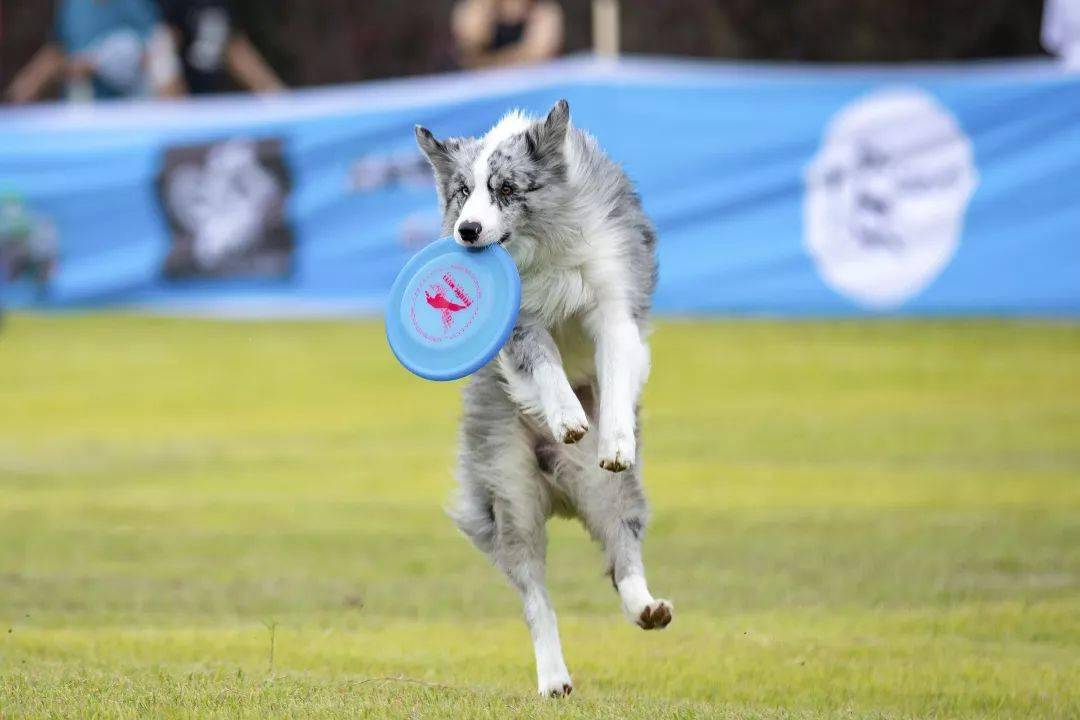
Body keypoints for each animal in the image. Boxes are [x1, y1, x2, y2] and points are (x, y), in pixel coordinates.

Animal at [416, 98, 669, 695]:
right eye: (462, 191)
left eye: (506, 188)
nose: (467, 231)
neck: (544, 247)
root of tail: (559, 485)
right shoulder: (520, 322)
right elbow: (545, 364)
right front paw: (567, 415)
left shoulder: (613, 297)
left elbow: (616, 371)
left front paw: (613, 437)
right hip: (511, 492)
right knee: (535, 594)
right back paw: (554, 676)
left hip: (604, 489)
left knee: (621, 549)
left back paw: (646, 607)